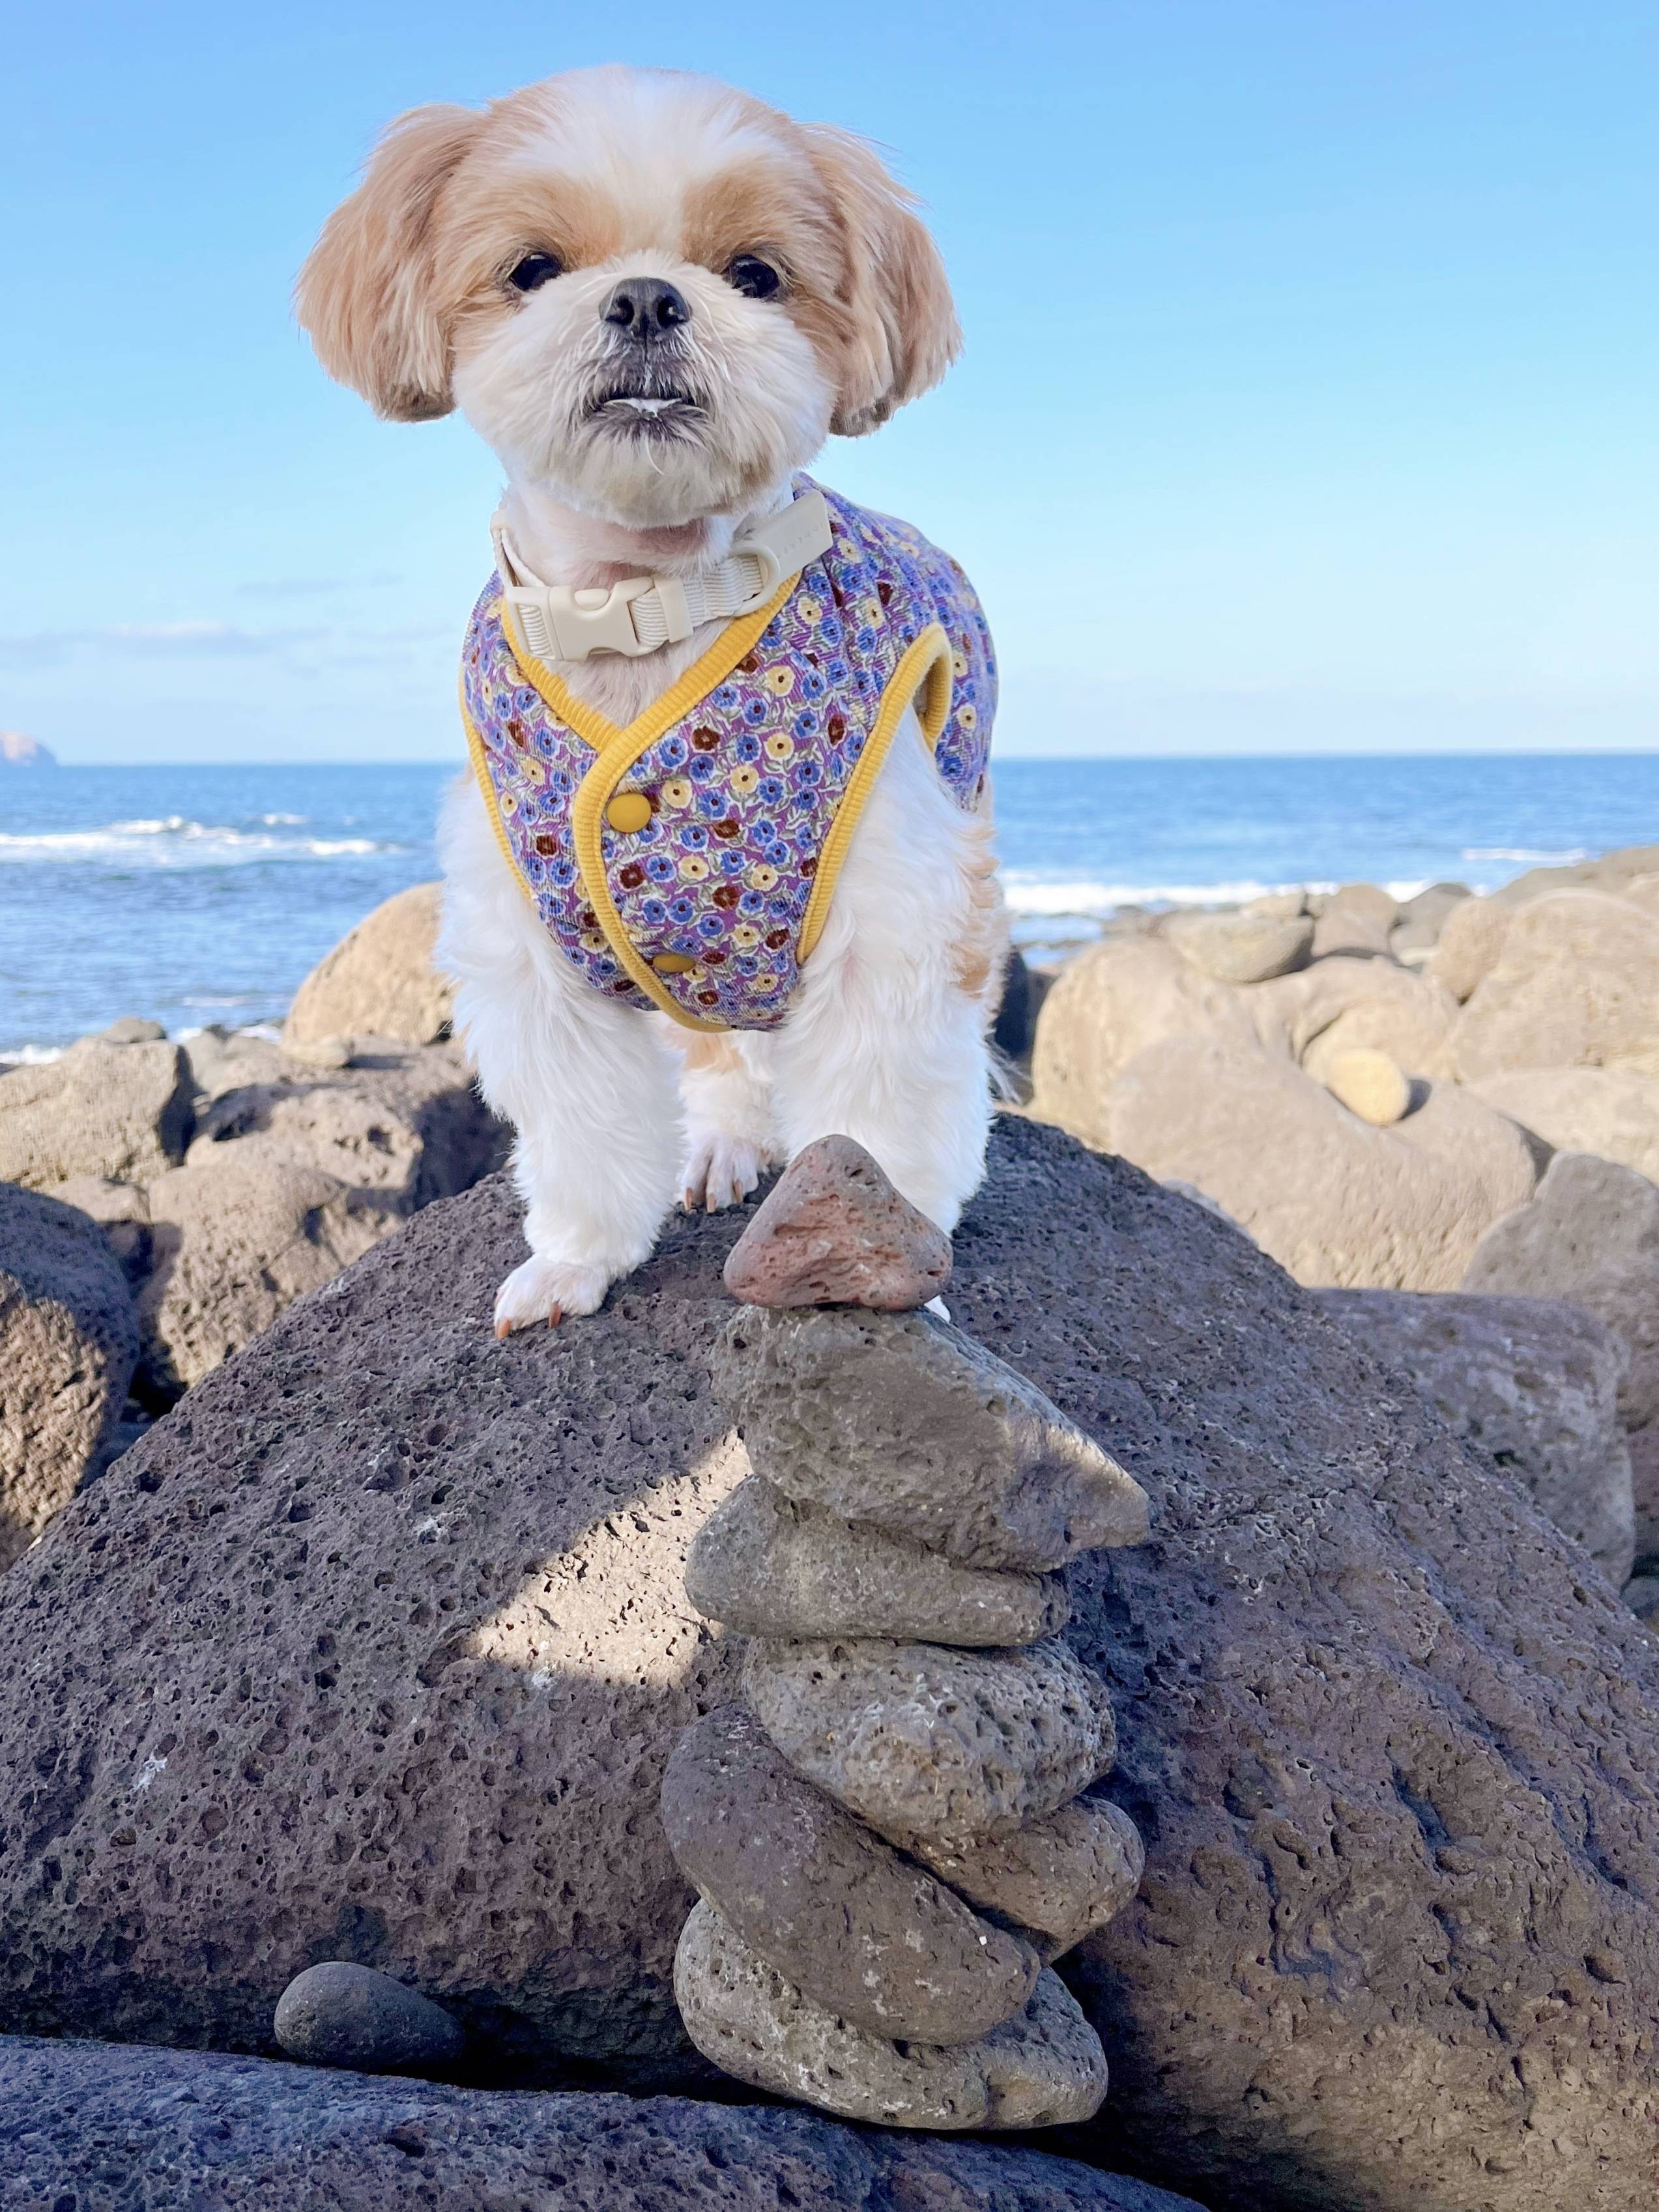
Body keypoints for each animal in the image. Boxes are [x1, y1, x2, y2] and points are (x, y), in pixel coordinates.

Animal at [296, 65, 1013, 1327]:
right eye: (532, 267)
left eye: (756, 274)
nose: (642, 299)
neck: (648, 604)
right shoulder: (534, 952)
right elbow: (583, 1124)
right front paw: (577, 1257)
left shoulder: (894, 921)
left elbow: (880, 1114)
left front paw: (895, 1267)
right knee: (717, 1054)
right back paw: (722, 1143)